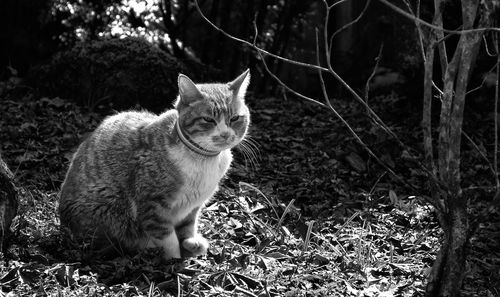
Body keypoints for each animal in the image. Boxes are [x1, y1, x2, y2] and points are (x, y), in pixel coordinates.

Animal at [59, 69, 252, 260]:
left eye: (235, 118)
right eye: (208, 120)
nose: (225, 135)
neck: (203, 159)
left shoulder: (193, 207)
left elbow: (188, 226)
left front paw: (189, 243)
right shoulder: (153, 206)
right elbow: (167, 237)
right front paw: (174, 259)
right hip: (110, 211)